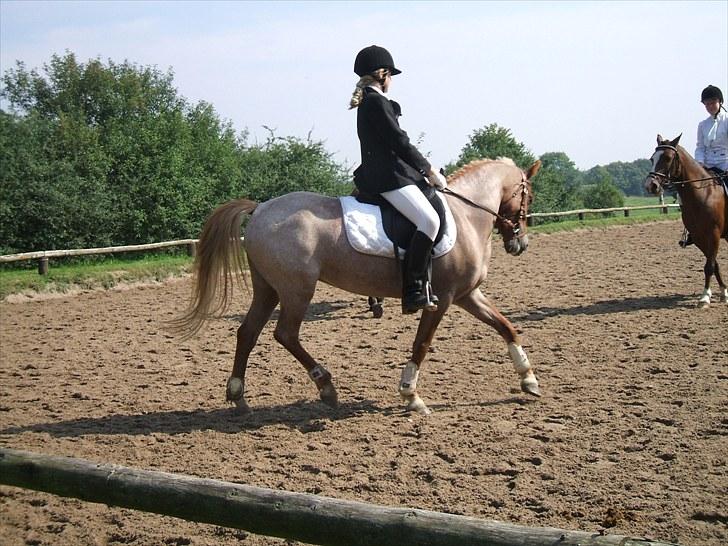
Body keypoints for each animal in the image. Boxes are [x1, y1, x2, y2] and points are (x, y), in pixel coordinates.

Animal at [171, 157, 543, 415]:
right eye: (529, 196)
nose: (520, 244)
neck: (466, 217)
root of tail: (261, 207)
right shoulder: (444, 297)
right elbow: (422, 344)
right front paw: (411, 395)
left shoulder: (468, 295)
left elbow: (506, 326)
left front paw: (528, 379)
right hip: (296, 290)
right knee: (285, 334)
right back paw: (326, 387)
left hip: (268, 289)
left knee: (247, 332)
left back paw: (238, 396)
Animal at [644, 134, 728, 307]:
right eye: (652, 159)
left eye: (668, 158)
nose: (651, 185)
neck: (704, 193)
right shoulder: (699, 237)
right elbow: (714, 264)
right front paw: (723, 292)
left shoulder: (714, 234)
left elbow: (709, 266)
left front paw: (705, 297)